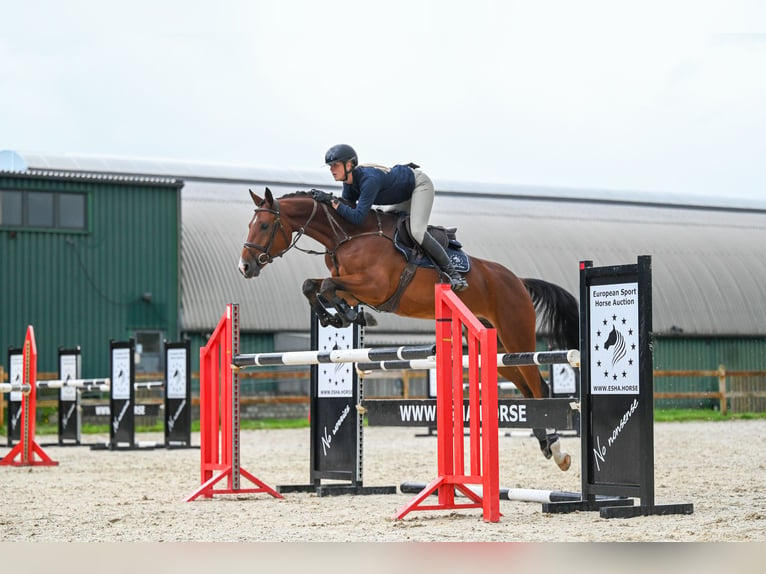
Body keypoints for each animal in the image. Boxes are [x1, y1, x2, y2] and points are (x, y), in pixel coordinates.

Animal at [237, 189, 580, 472]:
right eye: (250, 224)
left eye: (264, 226)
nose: (245, 267)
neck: (348, 236)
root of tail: (518, 280)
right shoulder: (355, 287)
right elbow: (314, 286)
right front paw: (341, 317)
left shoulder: (374, 287)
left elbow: (329, 286)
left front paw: (347, 317)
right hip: (494, 349)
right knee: (528, 392)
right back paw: (546, 445)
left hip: (515, 335)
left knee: (539, 387)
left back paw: (559, 451)